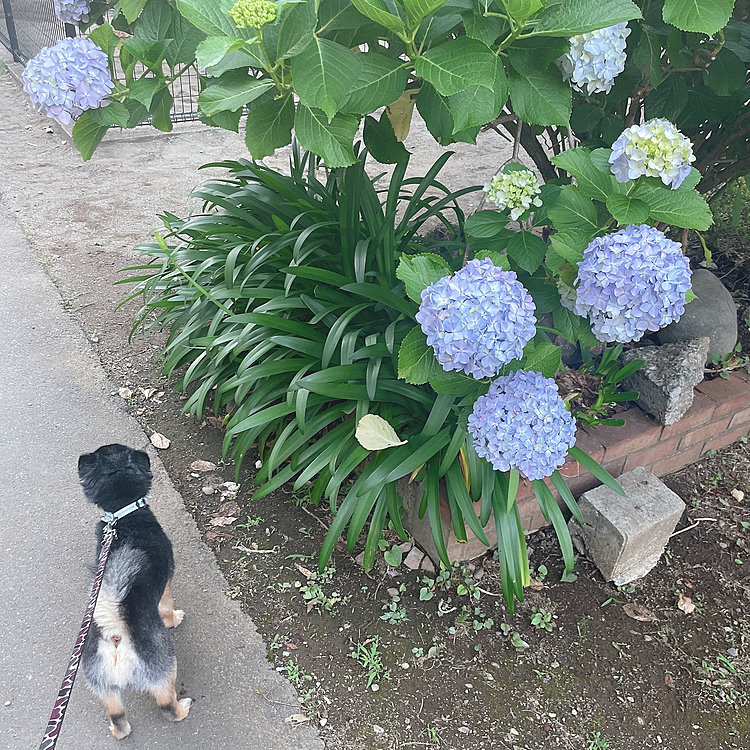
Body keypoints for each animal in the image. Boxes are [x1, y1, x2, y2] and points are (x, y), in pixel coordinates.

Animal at [78, 446, 191, 740]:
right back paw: (182, 707)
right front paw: (174, 618)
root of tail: (115, 634)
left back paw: (117, 731)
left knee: (119, 718)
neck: (123, 515)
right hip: (165, 669)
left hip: (103, 689)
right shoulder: (166, 582)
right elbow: (166, 608)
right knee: (167, 707)